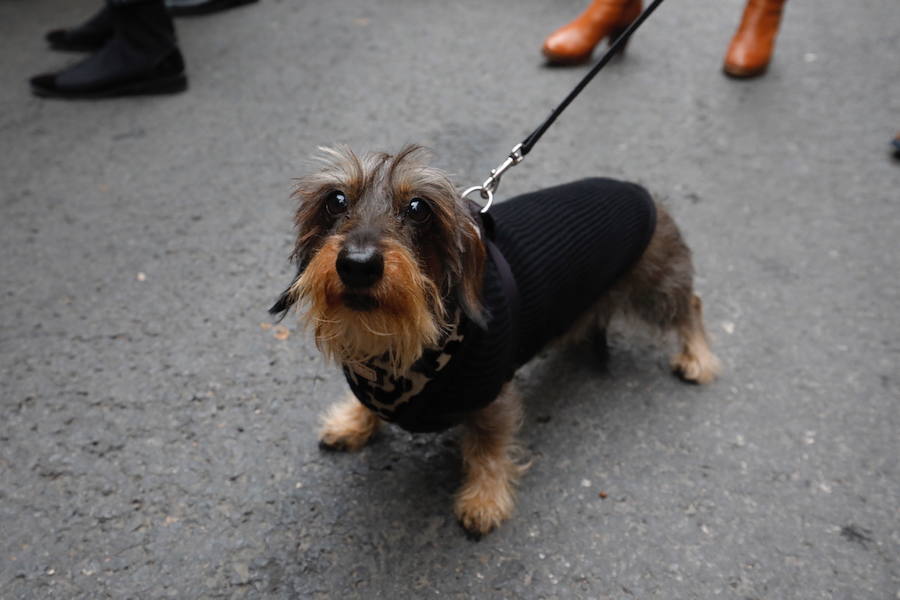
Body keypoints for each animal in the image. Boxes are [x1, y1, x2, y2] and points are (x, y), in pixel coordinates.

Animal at [270, 148, 720, 536]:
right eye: (335, 200)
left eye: (418, 208)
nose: (358, 264)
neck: (399, 349)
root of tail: (640, 189)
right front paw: (352, 423)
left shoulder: (492, 393)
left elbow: (487, 447)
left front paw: (484, 500)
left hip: (655, 283)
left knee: (691, 305)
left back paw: (698, 357)